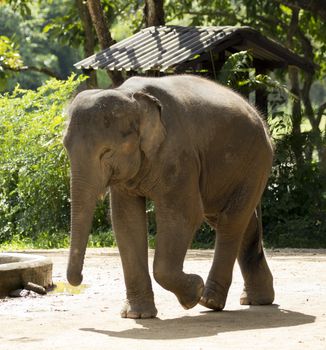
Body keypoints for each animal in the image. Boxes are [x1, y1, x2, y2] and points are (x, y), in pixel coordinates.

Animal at [63, 74, 276, 320]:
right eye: (65, 147)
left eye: (106, 152)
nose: (79, 280)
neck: (130, 95)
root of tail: (257, 115)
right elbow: (126, 221)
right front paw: (138, 315)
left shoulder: (178, 154)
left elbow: (183, 214)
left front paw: (194, 292)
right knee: (236, 220)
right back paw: (257, 300)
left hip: (254, 161)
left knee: (231, 221)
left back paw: (209, 301)